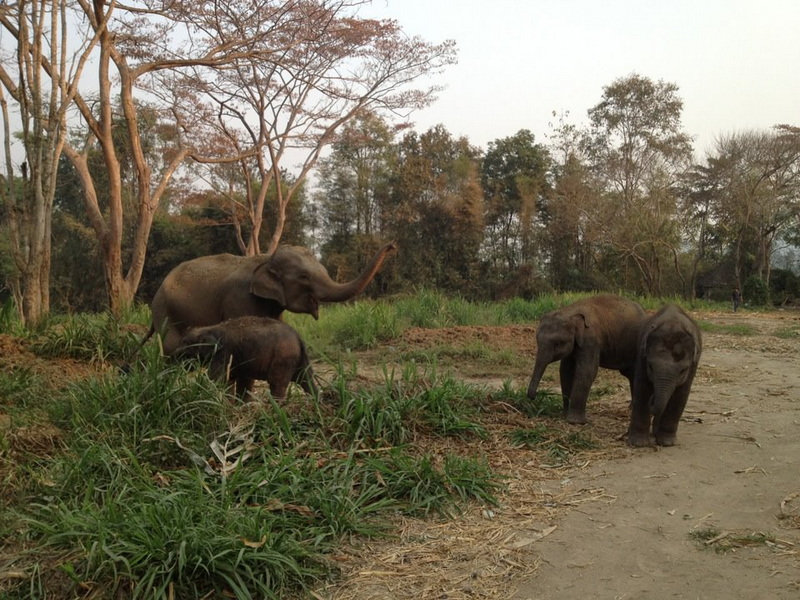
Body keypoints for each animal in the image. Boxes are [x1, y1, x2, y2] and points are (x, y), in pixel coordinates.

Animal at [140, 242, 396, 356]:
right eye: (304, 277)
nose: (392, 246)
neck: (265, 259)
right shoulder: (239, 300)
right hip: (164, 310)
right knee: (170, 345)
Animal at [174, 316, 318, 400]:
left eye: (186, 347)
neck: (209, 328)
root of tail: (298, 337)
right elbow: (233, 379)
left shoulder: (223, 353)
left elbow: (218, 379)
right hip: (298, 357)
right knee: (306, 379)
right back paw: (315, 401)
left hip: (283, 357)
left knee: (277, 383)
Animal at [526, 294, 647, 424]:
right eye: (537, 341)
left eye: (557, 344)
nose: (534, 396)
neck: (570, 312)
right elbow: (565, 371)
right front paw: (565, 415)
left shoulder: (591, 340)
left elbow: (586, 371)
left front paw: (575, 422)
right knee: (631, 374)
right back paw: (631, 408)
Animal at [627, 304, 702, 447]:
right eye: (650, 366)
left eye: (683, 371)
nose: (653, 397)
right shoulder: (642, 357)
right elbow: (642, 389)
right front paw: (638, 443)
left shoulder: (693, 366)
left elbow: (680, 395)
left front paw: (667, 442)